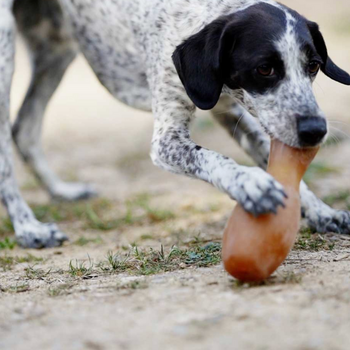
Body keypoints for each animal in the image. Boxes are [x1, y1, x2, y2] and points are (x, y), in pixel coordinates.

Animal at [0, 0, 348, 247]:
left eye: (313, 66)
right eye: (264, 69)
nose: (316, 130)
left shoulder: (229, 111)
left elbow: (284, 172)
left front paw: (321, 211)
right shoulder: (166, 139)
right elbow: (217, 159)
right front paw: (251, 184)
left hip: (57, 48)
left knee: (25, 129)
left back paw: (60, 191)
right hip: (6, 53)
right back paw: (29, 227)